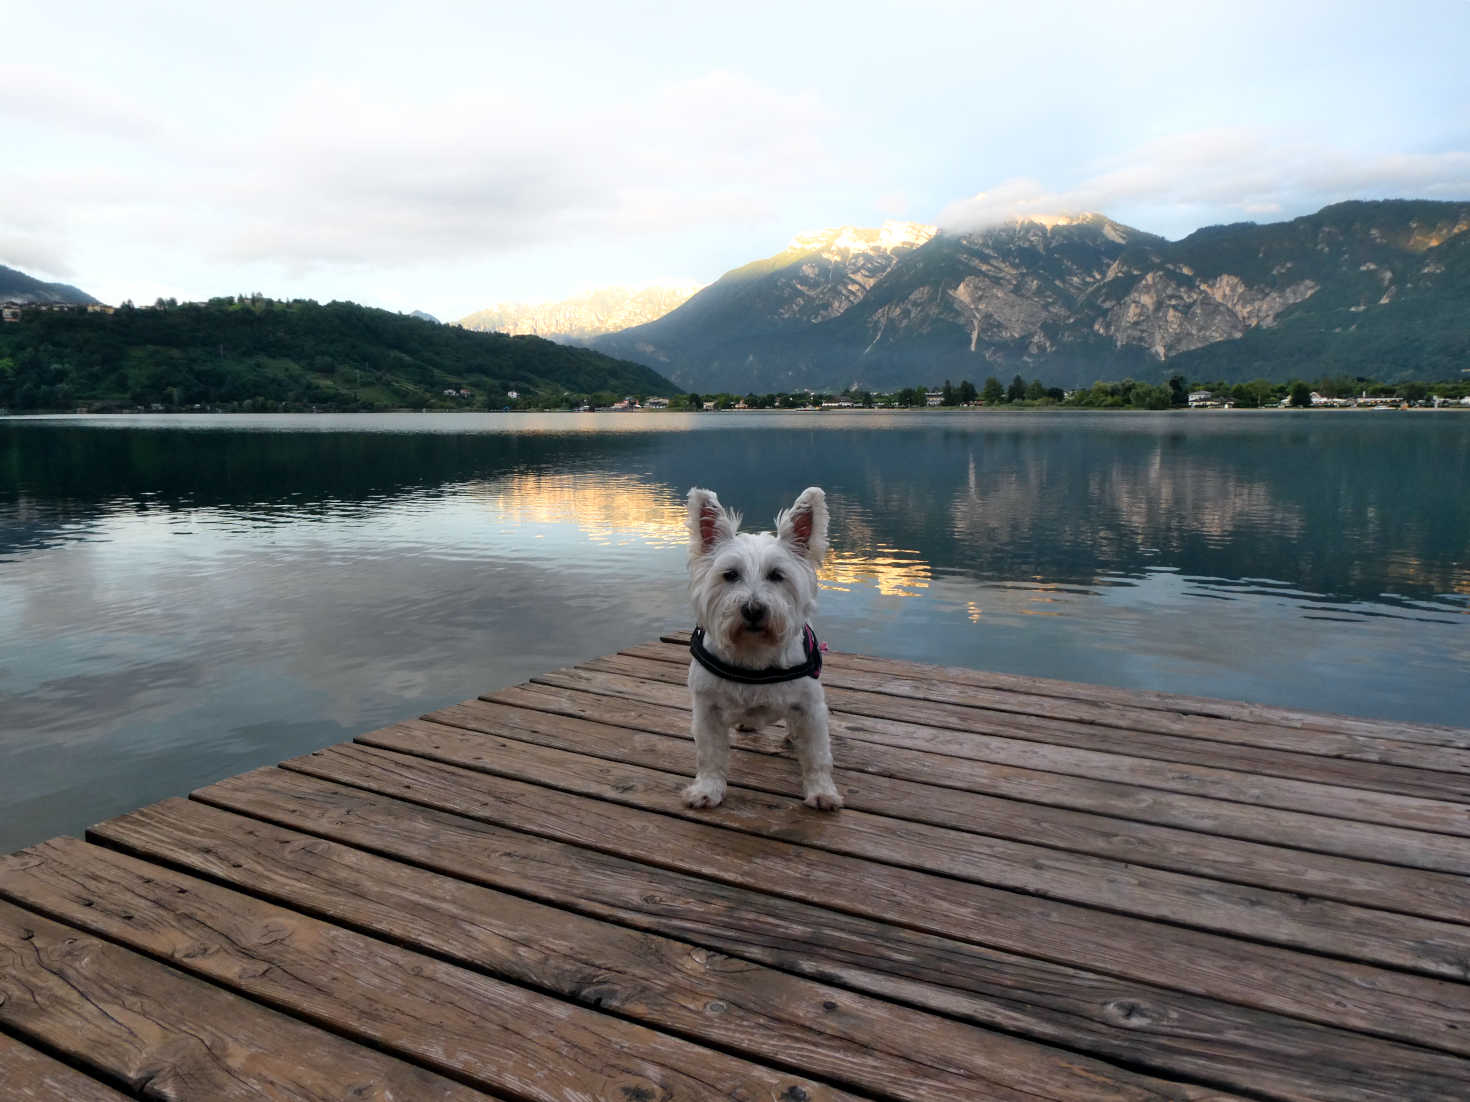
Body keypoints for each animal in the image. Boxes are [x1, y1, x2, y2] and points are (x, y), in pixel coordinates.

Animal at [676, 487, 840, 816]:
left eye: (777, 575)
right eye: (730, 575)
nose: (753, 610)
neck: (753, 653)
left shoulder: (810, 708)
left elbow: (817, 756)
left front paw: (822, 793)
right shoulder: (707, 710)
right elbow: (710, 756)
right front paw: (706, 791)